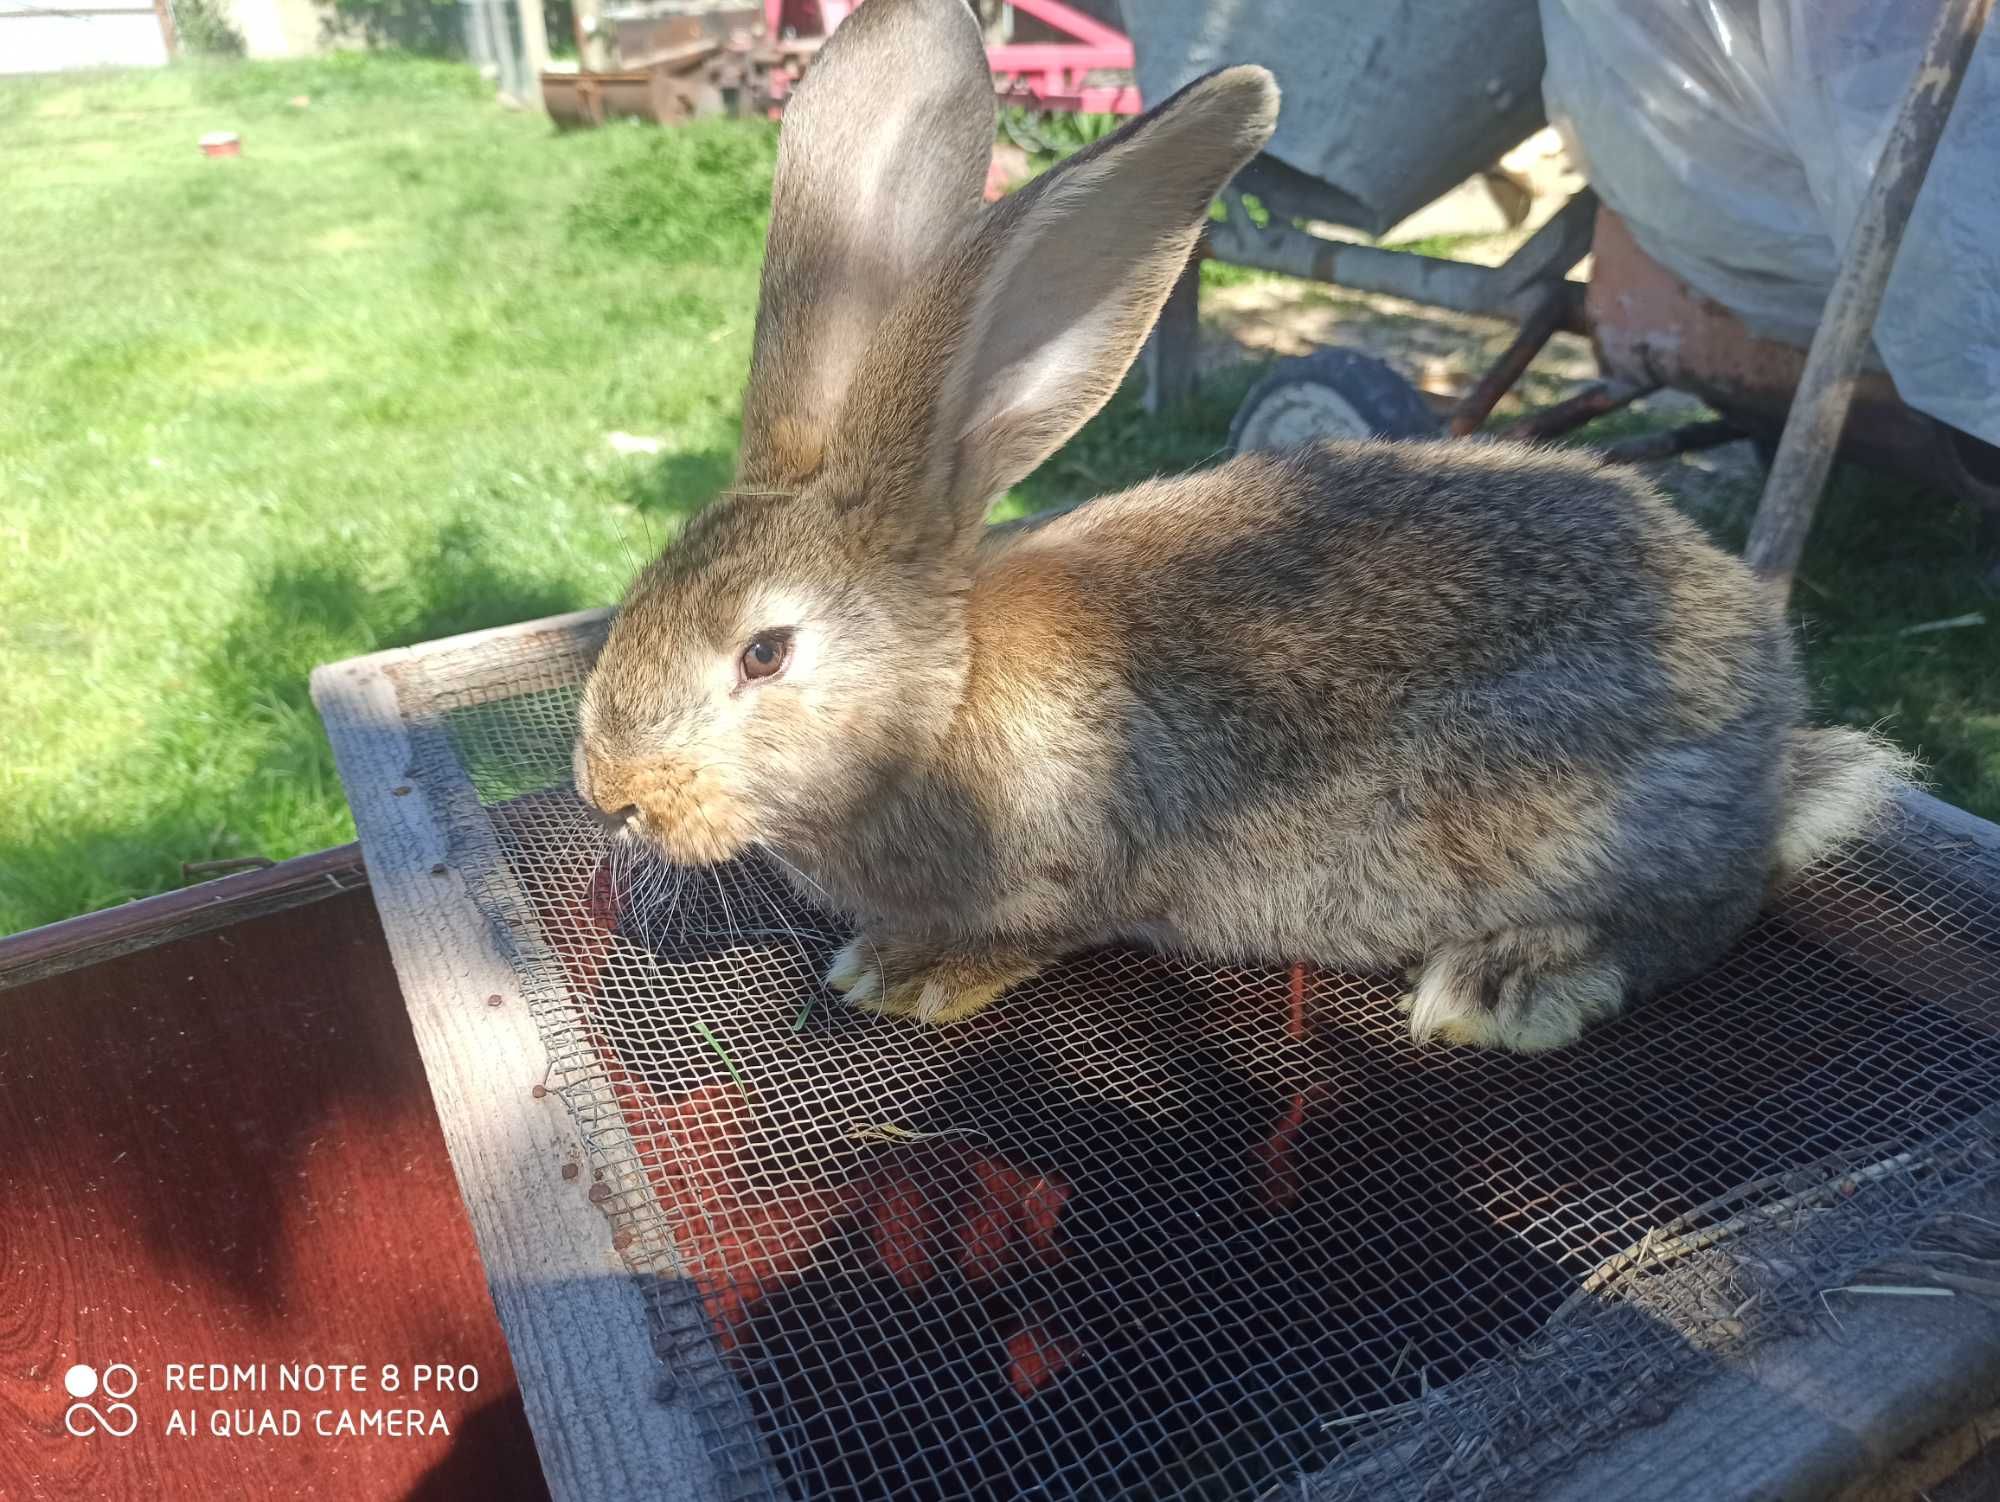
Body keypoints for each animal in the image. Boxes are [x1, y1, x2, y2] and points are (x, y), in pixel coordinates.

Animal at [572, 0, 1912, 1056]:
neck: (936, 702)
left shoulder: (1071, 871)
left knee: (1700, 916)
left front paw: (900, 972)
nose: (610, 794)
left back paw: (1505, 980)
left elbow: (1029, 933)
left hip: (1598, 815)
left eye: (764, 653)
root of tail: (1766, 715)